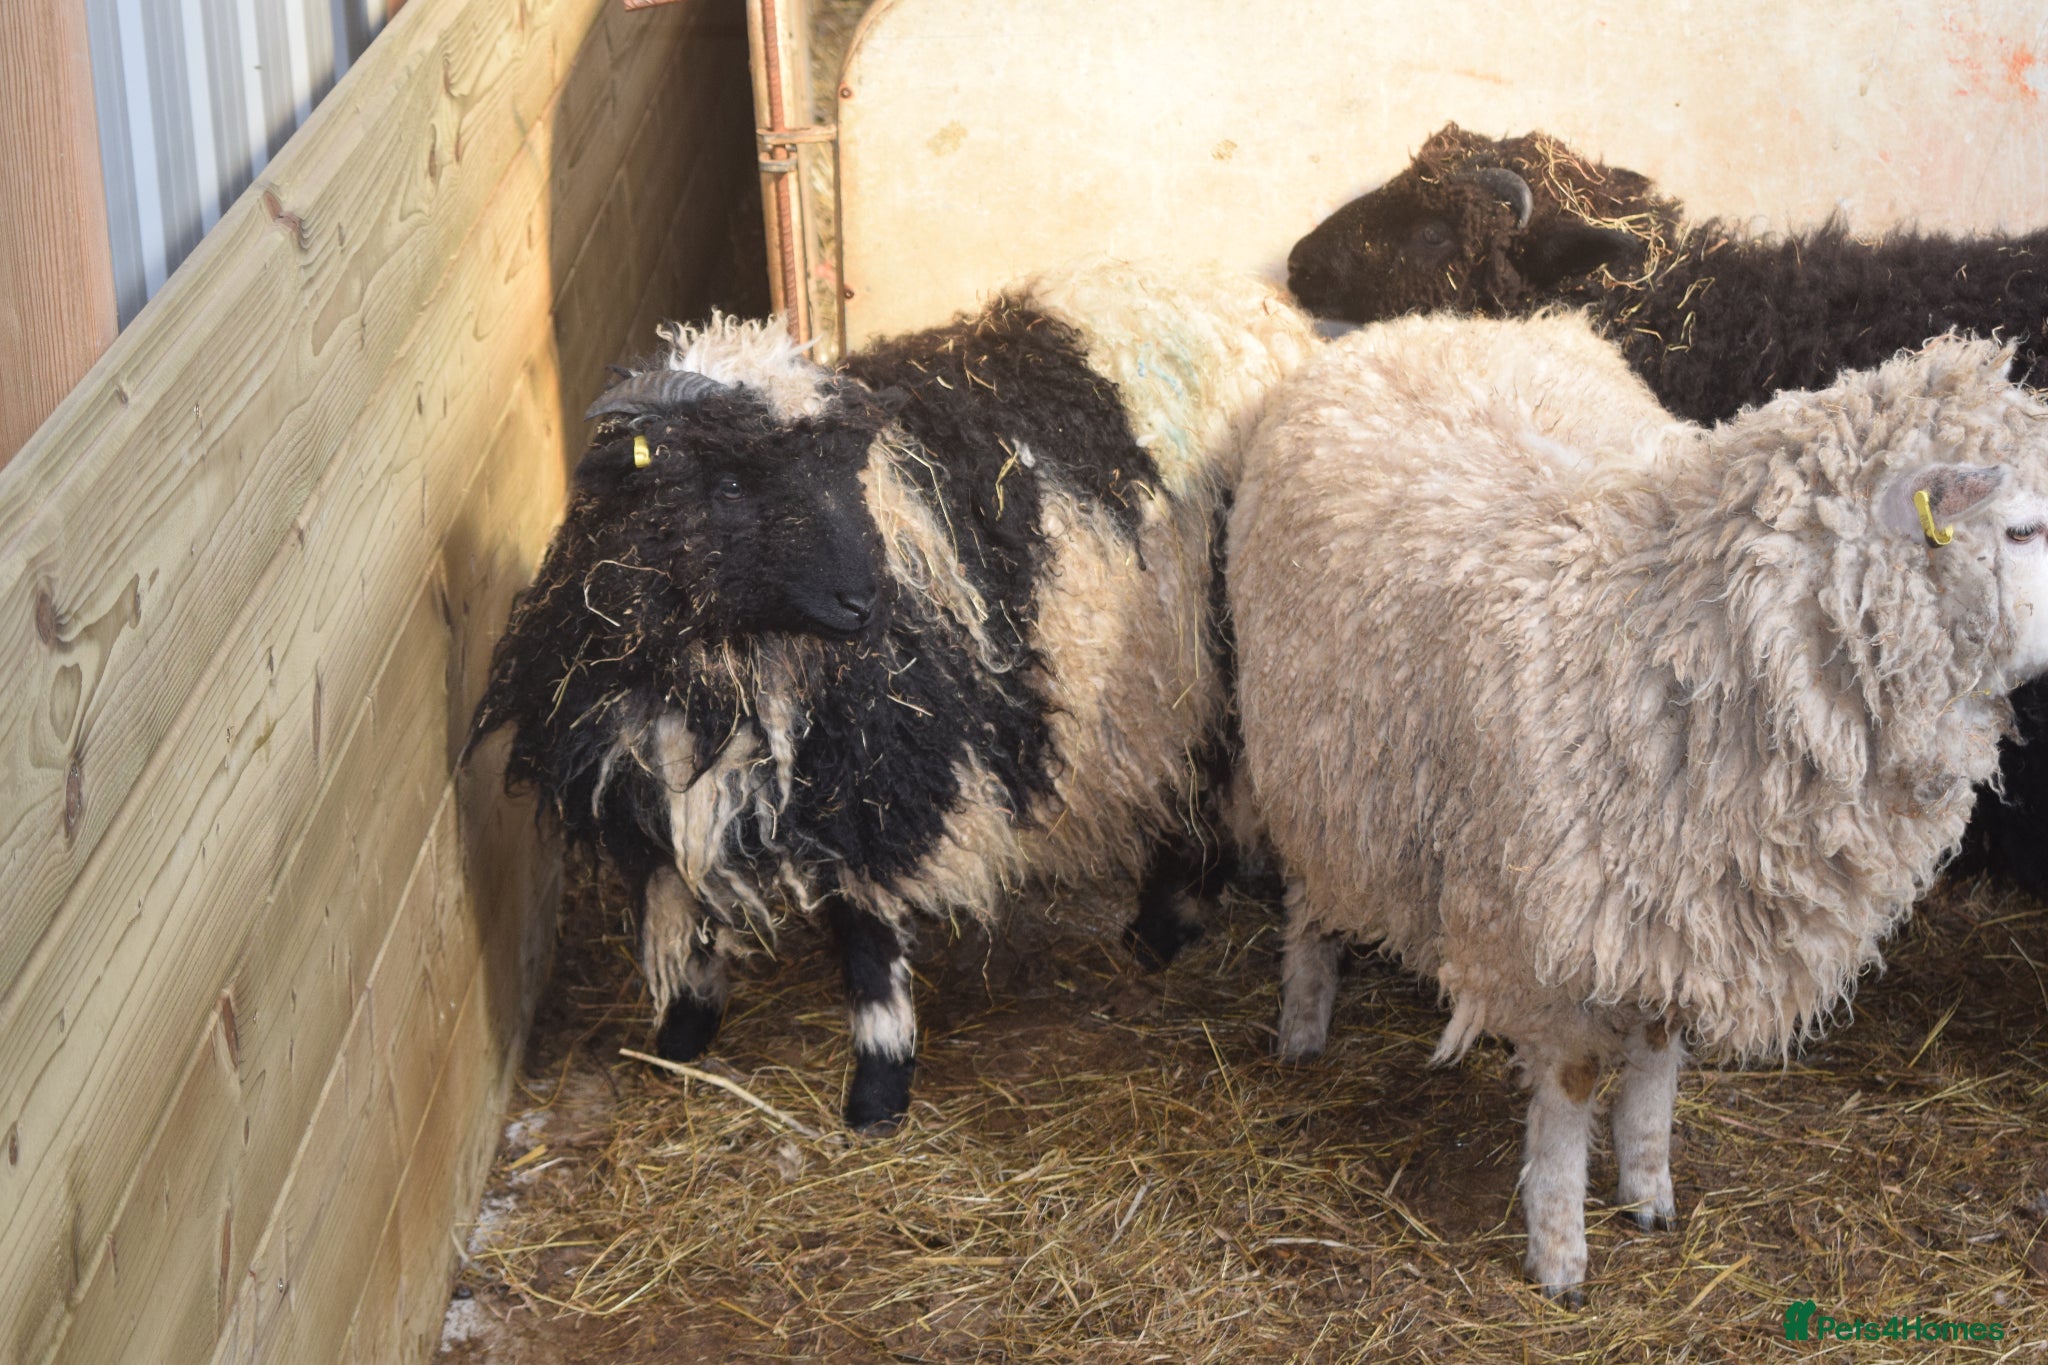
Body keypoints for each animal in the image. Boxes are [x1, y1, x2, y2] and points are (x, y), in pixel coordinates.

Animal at [470, 259, 1313, 1130]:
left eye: (845, 473)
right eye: (731, 482)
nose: (863, 600)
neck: (739, 661)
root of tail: (1260, 305)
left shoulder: (877, 781)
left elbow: (868, 938)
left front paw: (878, 1085)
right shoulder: (657, 782)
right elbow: (692, 905)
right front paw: (683, 1034)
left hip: (1227, 654)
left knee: (1222, 777)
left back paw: (1170, 917)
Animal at [1227, 310, 2048, 1302]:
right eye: (2020, 529)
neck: (1684, 648)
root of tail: (1424, 323)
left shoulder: (1682, 903)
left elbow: (1658, 1048)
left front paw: (1648, 1185)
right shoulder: (1548, 927)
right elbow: (1576, 1078)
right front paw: (1559, 1249)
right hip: (1314, 756)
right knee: (1310, 890)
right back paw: (1303, 1020)